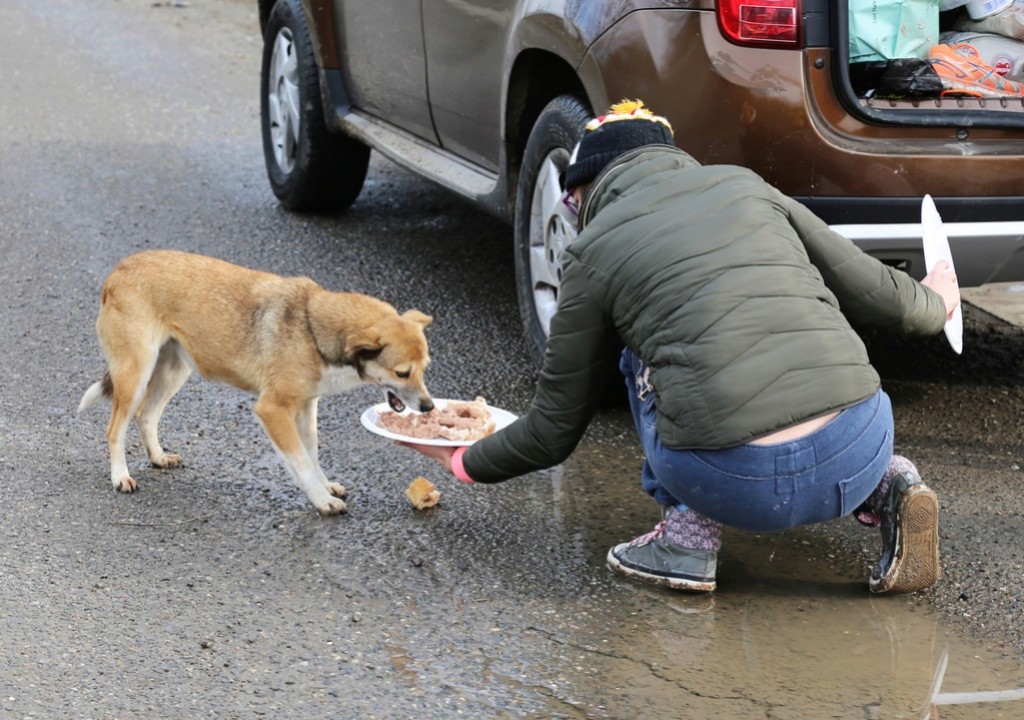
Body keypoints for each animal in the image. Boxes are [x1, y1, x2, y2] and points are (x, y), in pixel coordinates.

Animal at [77, 250, 432, 516]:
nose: (428, 407)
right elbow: (300, 460)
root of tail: (117, 272)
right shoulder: (273, 410)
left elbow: (312, 454)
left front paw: (324, 484)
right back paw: (120, 476)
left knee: (146, 416)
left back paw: (158, 457)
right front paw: (321, 499)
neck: (312, 326)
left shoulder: (306, 408)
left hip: (173, 371)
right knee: (115, 429)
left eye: (425, 368)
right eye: (403, 373)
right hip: (135, 374)